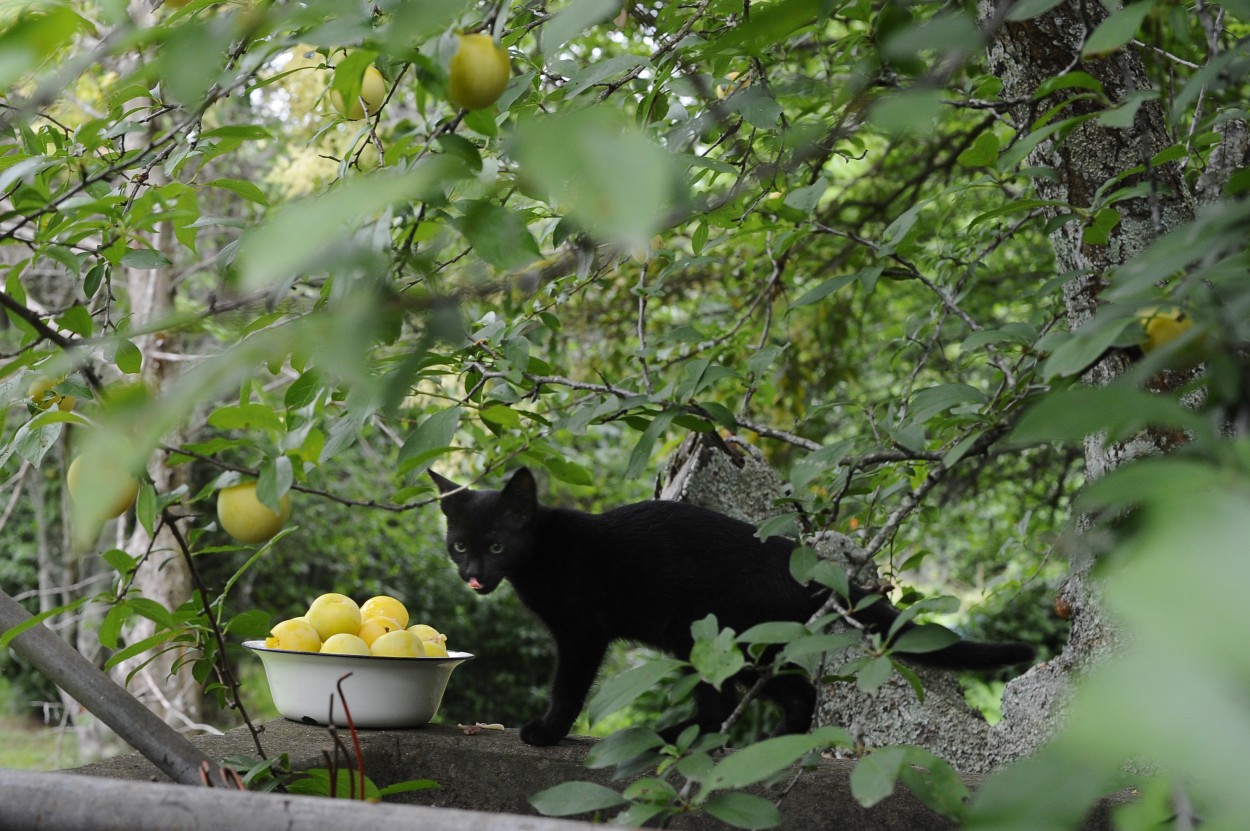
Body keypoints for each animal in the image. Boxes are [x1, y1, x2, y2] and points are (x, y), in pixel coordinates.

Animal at [430, 467, 1035, 744]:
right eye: (459, 545)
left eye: (497, 546)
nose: (473, 575)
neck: (542, 552)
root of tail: (800, 561)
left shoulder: (582, 632)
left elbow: (568, 686)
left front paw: (548, 730)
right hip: (734, 643)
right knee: (779, 696)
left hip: (705, 630)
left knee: (747, 700)